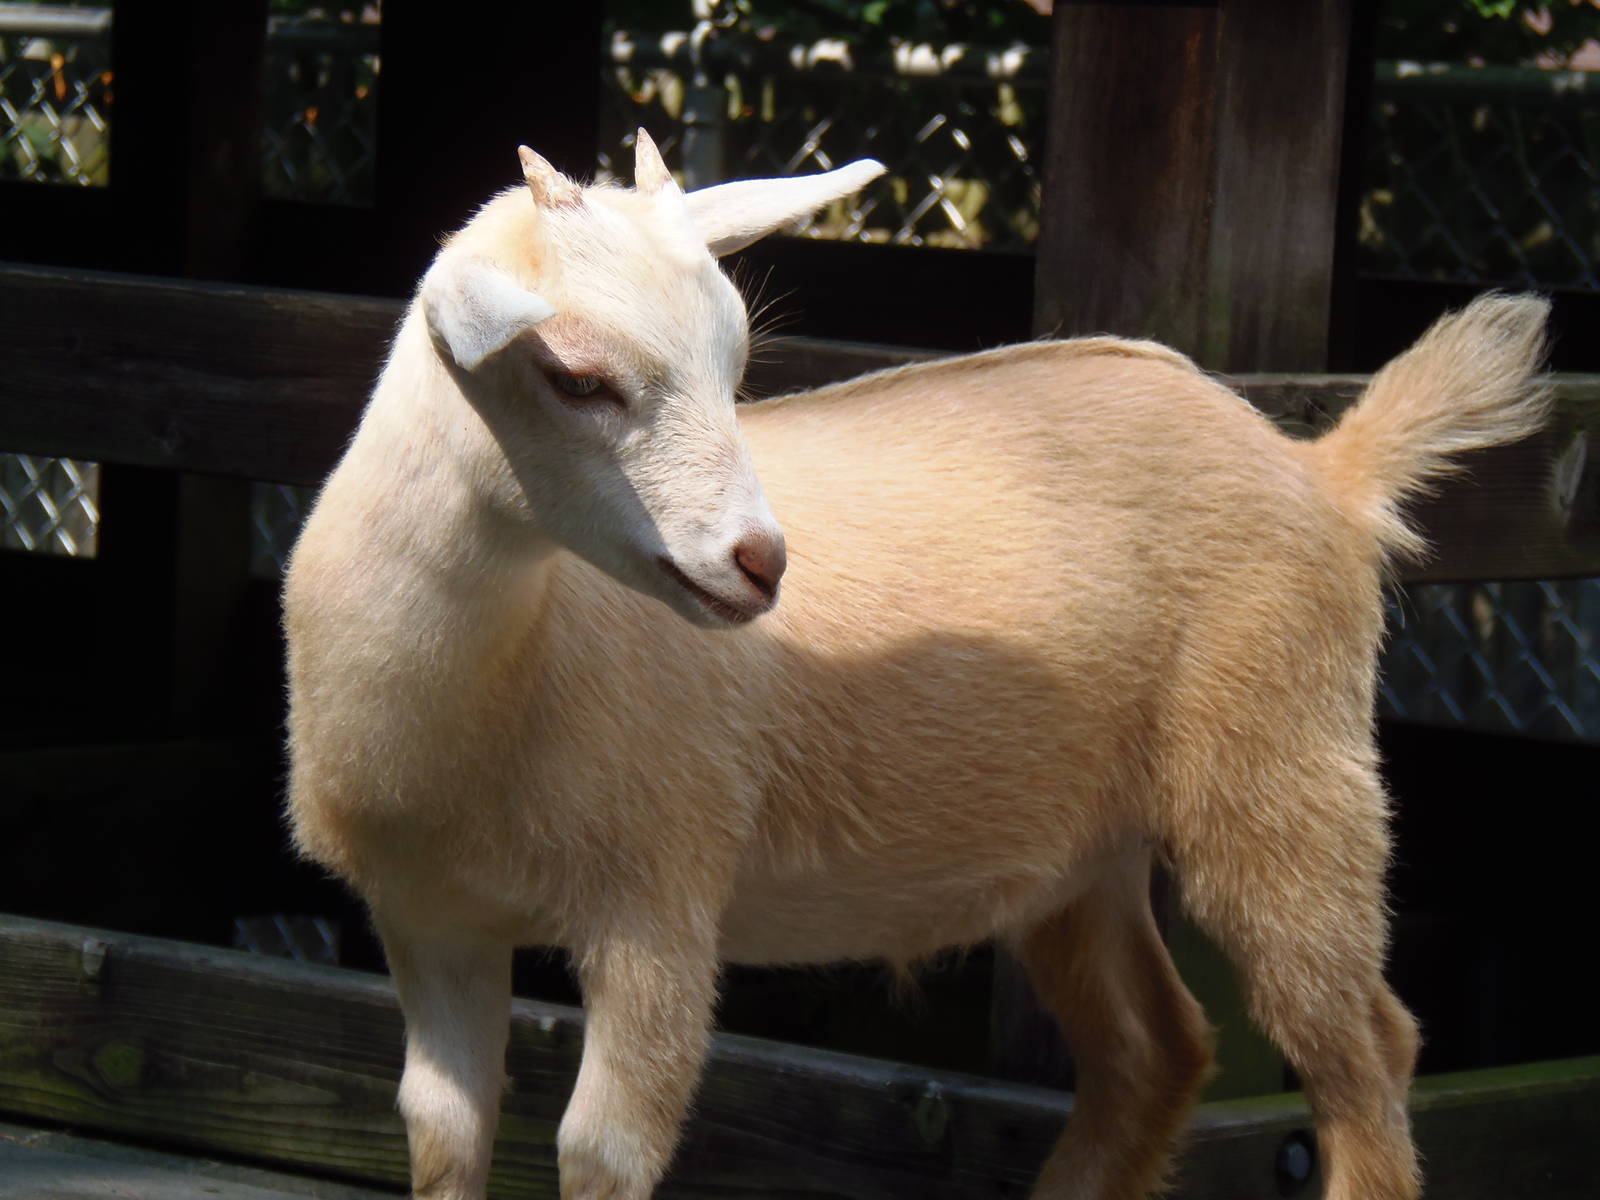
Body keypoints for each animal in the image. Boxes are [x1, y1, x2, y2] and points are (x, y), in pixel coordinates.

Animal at [283, 129, 1551, 1200]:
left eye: (738, 361)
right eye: (576, 378)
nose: (758, 562)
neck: (510, 666)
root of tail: (1326, 469)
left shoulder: (657, 901)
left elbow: (600, 1154)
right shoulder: (429, 921)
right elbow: (442, 1134)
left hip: (1284, 764)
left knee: (1363, 1047)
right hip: (1079, 852)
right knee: (1155, 1048)